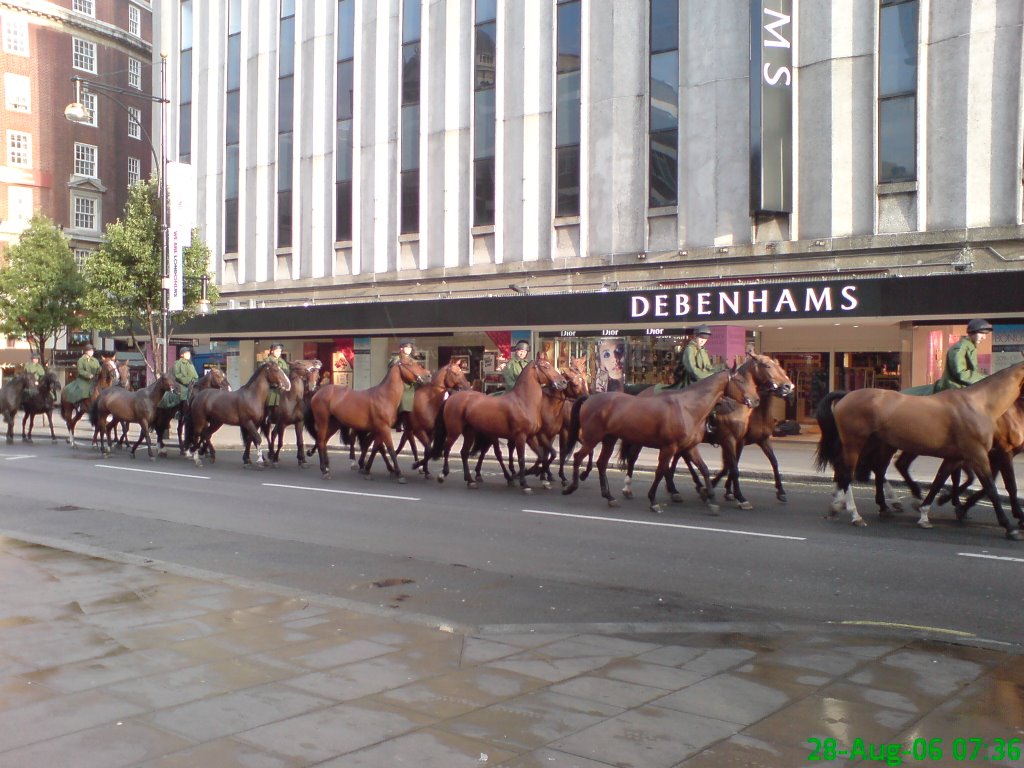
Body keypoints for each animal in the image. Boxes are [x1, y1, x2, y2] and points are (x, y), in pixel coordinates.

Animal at [303, 354, 432, 481]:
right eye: (410, 363)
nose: (429, 375)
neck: (385, 397)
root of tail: (317, 393)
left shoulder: (380, 429)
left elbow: (376, 448)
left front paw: (368, 469)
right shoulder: (384, 428)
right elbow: (390, 450)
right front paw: (399, 473)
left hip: (334, 424)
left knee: (324, 441)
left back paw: (327, 466)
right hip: (323, 421)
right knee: (321, 441)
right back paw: (324, 470)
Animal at [423, 360, 569, 493]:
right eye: (545, 366)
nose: (563, 382)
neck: (523, 401)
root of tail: (451, 398)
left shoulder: (531, 437)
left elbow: (541, 456)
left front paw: (537, 474)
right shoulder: (520, 437)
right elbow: (522, 459)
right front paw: (525, 483)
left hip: (470, 433)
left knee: (464, 453)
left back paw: (470, 480)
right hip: (455, 431)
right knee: (447, 448)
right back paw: (443, 474)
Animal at [561, 366, 761, 518]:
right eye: (740, 381)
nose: (756, 400)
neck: (688, 407)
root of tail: (590, 397)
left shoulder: (690, 447)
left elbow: (703, 469)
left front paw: (711, 498)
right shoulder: (669, 448)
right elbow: (660, 472)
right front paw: (653, 501)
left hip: (609, 439)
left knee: (602, 463)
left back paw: (609, 497)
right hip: (593, 438)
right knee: (578, 457)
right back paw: (571, 486)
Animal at [811, 362, 1024, 536]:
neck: (980, 405)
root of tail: (846, 395)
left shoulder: (956, 457)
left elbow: (940, 481)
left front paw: (925, 513)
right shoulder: (979, 455)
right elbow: (992, 488)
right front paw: (1009, 525)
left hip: (874, 444)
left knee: (867, 469)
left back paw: (849, 505)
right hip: (856, 443)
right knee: (849, 474)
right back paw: (856, 515)